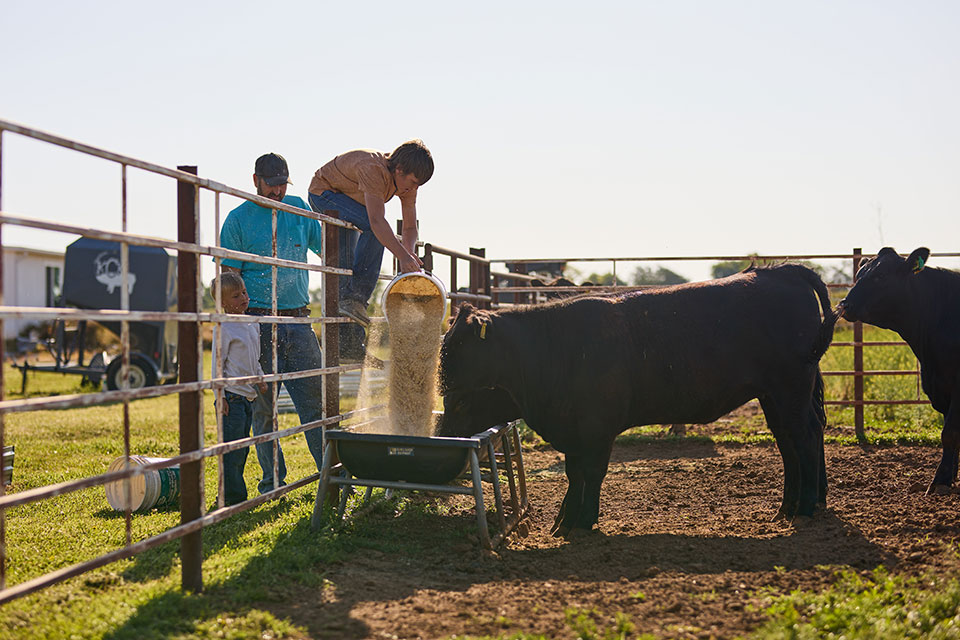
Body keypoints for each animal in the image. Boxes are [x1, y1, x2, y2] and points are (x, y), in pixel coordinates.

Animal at [438, 264, 839, 537]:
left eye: (460, 401)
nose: (447, 441)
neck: (553, 348)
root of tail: (779, 271)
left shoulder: (598, 427)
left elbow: (591, 472)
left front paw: (583, 521)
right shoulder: (573, 428)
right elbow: (574, 472)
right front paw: (564, 521)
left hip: (790, 389)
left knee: (804, 438)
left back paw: (804, 507)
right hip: (774, 396)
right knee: (789, 443)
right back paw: (788, 507)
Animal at [837, 247, 960, 494]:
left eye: (881, 276)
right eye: (859, 275)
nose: (845, 304)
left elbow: (950, 433)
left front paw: (941, 480)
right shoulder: (939, 387)